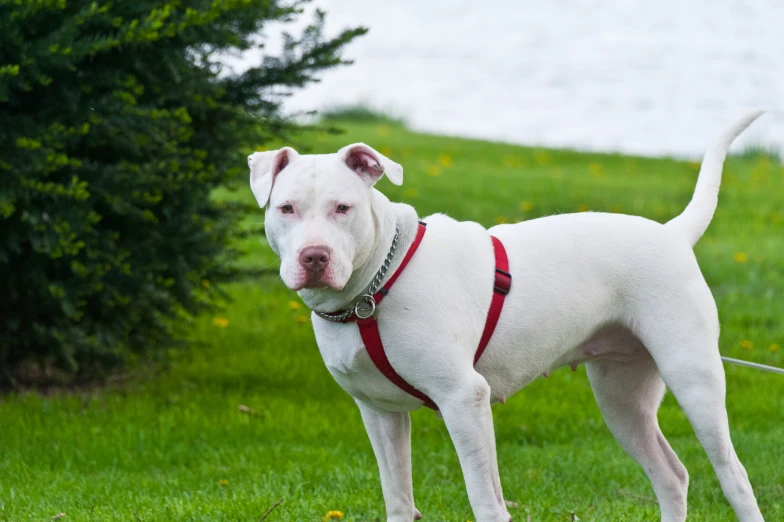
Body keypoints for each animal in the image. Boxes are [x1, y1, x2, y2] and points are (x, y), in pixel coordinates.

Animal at [250, 110, 764, 520]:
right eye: (286, 208)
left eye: (344, 208)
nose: (314, 257)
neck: (374, 290)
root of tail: (673, 233)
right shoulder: (379, 412)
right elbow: (398, 499)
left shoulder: (464, 400)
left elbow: (486, 500)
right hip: (622, 398)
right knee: (670, 475)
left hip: (693, 378)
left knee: (734, 476)